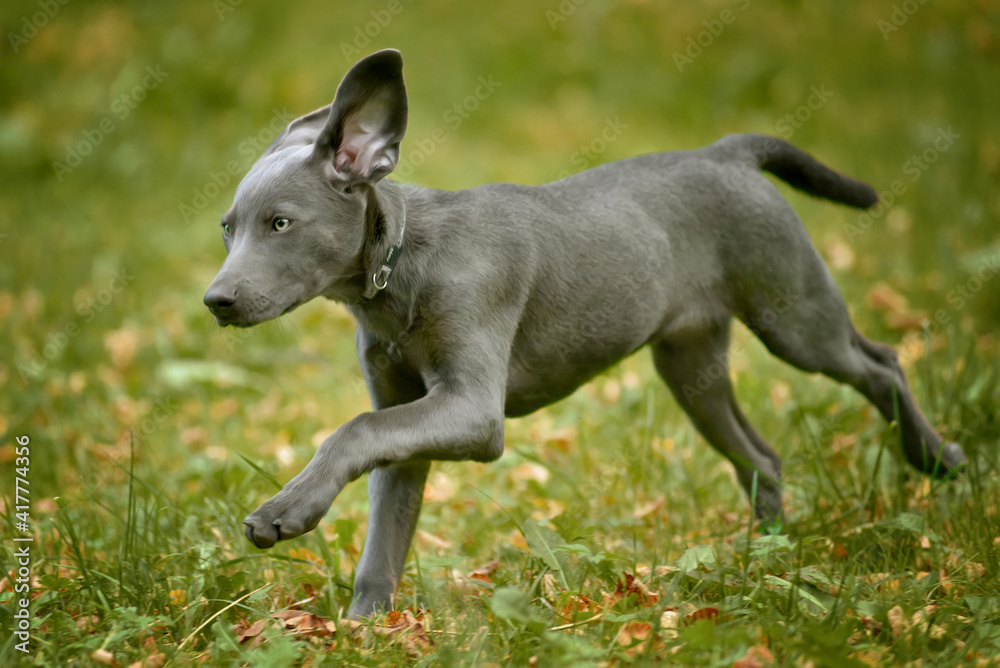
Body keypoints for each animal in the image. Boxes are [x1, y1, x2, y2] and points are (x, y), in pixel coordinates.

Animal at [205, 49, 968, 620]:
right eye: (227, 228)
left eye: (280, 223)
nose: (215, 302)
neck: (400, 268)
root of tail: (727, 152)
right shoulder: (406, 416)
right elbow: (383, 532)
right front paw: (365, 629)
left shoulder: (471, 410)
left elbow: (354, 430)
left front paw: (284, 510)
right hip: (691, 364)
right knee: (763, 456)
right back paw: (770, 558)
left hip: (794, 315)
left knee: (881, 362)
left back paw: (937, 460)